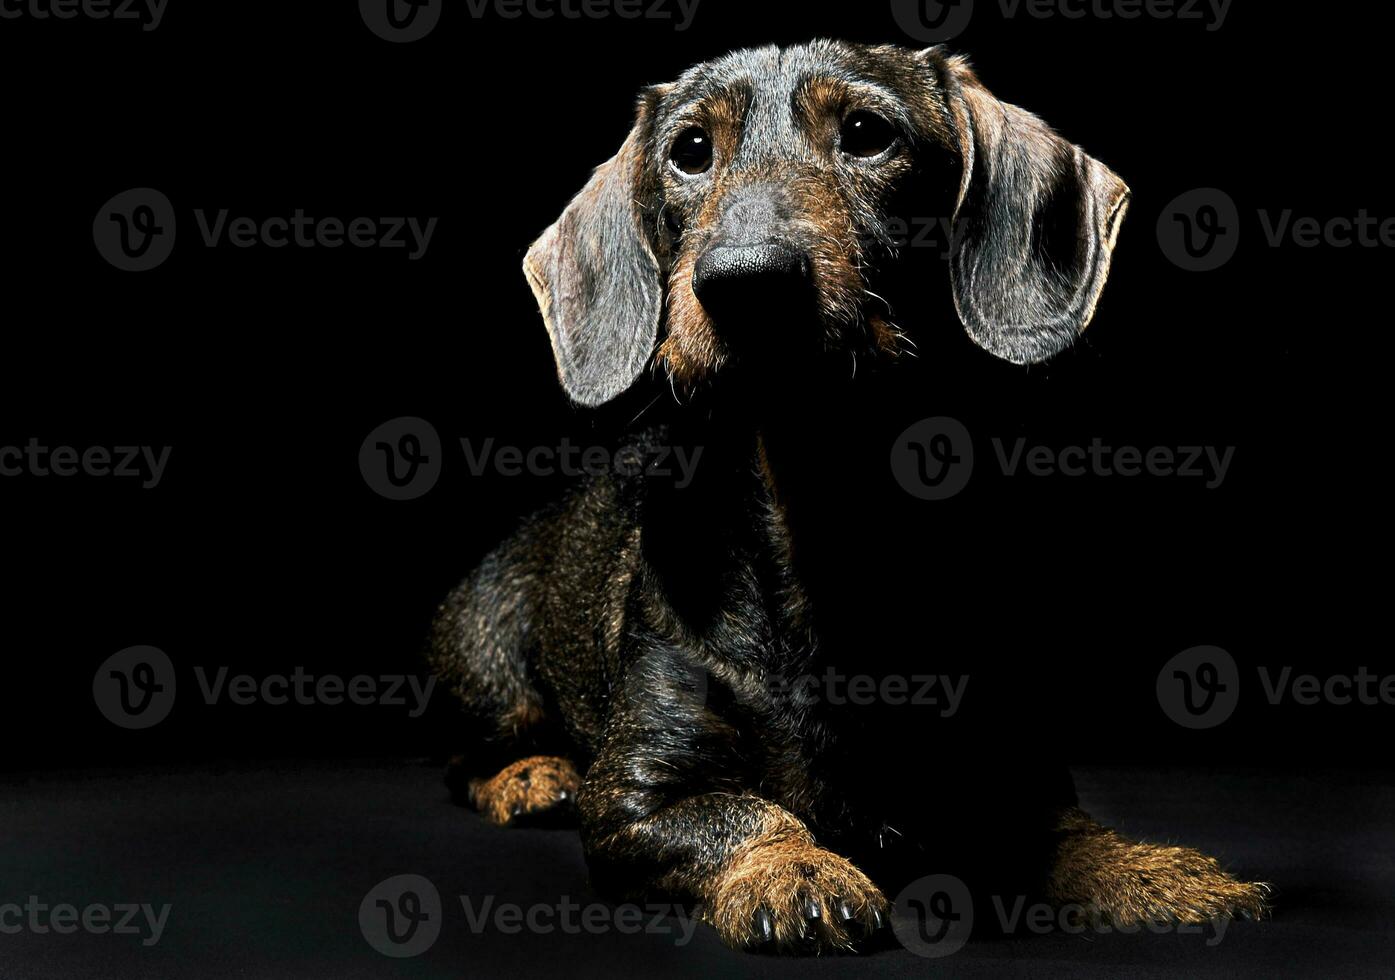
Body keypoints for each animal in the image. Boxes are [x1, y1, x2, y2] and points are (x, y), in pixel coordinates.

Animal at [429, 42, 1272, 953]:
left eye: (868, 133)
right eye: (690, 151)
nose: (745, 280)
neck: (826, 514)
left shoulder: (1017, 766)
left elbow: (1063, 835)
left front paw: (1153, 872)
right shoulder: (635, 798)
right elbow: (740, 814)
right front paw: (794, 871)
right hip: (488, 665)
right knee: (468, 760)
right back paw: (531, 777)